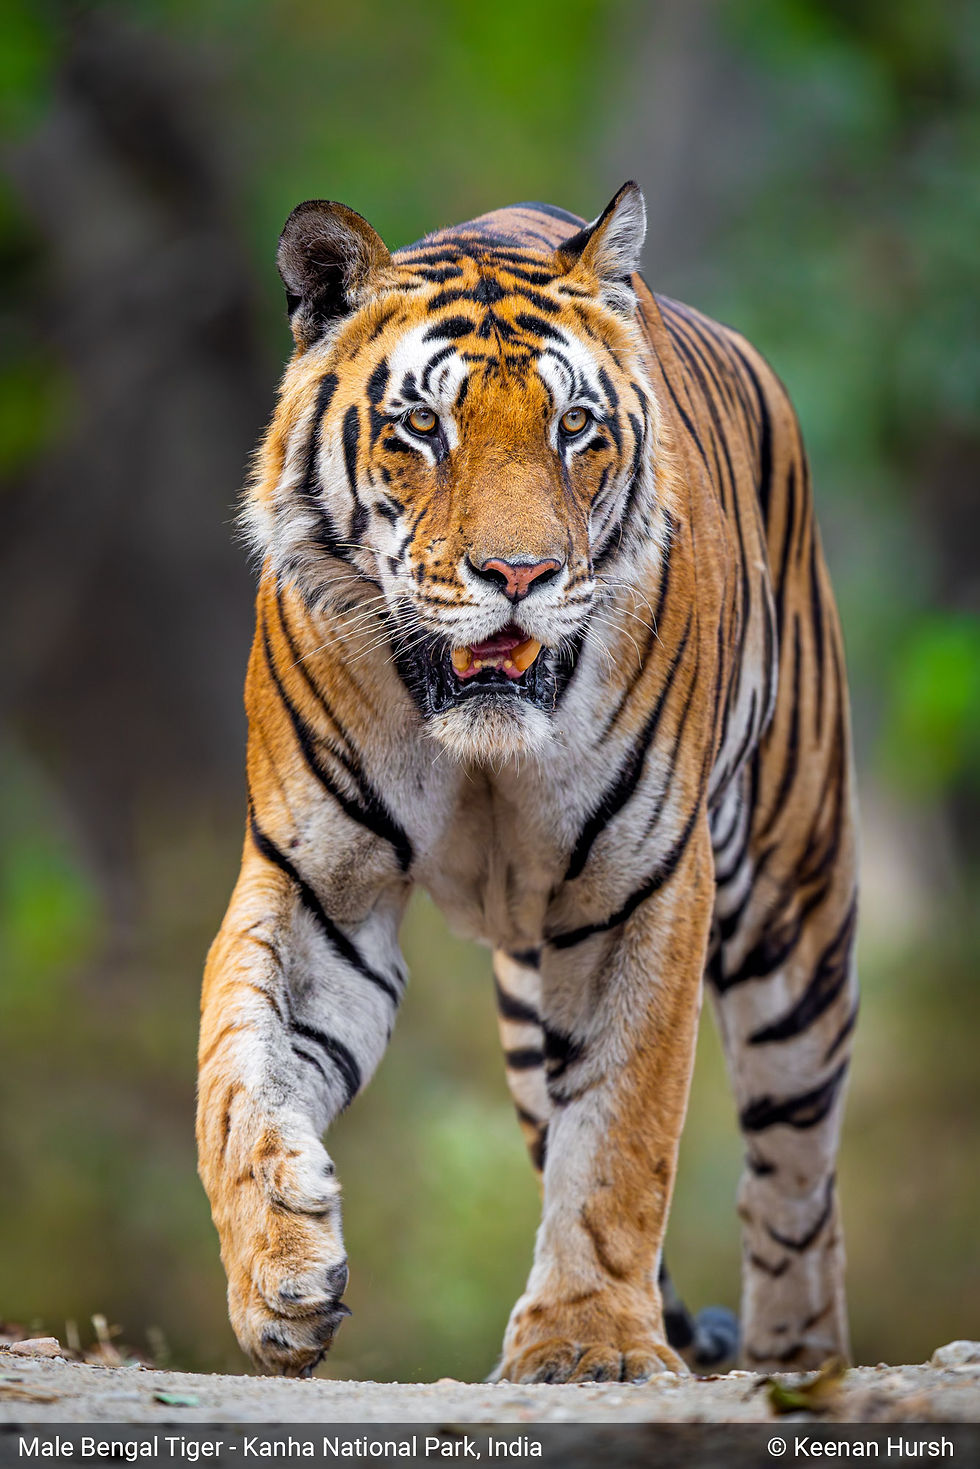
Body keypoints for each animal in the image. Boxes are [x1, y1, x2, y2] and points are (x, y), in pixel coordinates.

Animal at [196, 182, 859, 1383]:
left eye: (574, 428)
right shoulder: (316, 883)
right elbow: (237, 1071)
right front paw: (280, 1269)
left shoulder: (643, 887)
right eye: (423, 427)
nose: (520, 575)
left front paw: (589, 1341)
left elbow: (621, 1136)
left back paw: (794, 1360)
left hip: (795, 915)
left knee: (792, 1178)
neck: (478, 747)